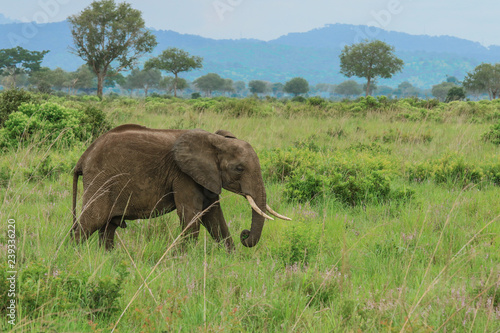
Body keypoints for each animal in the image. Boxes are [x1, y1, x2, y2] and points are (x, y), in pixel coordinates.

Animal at [70, 123, 290, 250]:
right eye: (239, 168)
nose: (244, 235)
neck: (215, 140)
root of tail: (82, 158)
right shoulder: (183, 175)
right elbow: (191, 216)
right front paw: (181, 261)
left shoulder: (206, 175)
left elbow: (214, 218)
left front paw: (232, 259)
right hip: (101, 180)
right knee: (90, 222)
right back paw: (75, 256)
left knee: (108, 227)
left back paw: (107, 257)